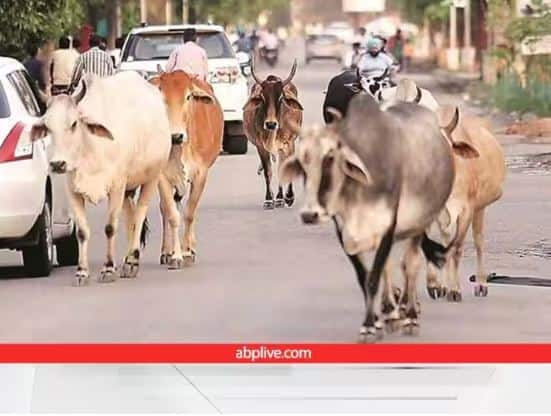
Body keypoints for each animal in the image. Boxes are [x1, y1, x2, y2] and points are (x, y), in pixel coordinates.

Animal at [28, 72, 174, 286]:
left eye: (74, 124)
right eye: (47, 126)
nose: (57, 164)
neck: (90, 148)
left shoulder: (117, 187)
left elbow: (110, 228)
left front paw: (108, 269)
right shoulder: (73, 190)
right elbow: (81, 232)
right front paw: (81, 272)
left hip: (152, 177)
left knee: (139, 215)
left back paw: (132, 261)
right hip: (128, 189)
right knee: (131, 219)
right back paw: (128, 259)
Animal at [151, 68, 224, 266]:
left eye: (188, 96)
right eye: (162, 96)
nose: (175, 136)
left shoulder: (201, 174)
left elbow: (189, 213)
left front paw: (187, 252)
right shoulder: (162, 176)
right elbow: (172, 214)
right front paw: (175, 255)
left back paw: (190, 246)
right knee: (165, 209)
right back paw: (166, 252)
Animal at [244, 60, 304, 210]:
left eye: (281, 98)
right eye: (261, 97)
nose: (271, 124)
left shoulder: (288, 144)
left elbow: (283, 169)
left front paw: (287, 197)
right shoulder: (261, 146)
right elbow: (268, 172)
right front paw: (269, 199)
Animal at [280, 94, 466, 342]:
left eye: (330, 157)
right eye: (301, 163)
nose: (310, 215)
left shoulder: (388, 226)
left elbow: (374, 277)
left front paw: (370, 325)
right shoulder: (344, 231)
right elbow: (365, 277)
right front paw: (375, 322)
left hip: (420, 223)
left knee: (411, 265)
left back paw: (410, 316)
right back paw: (390, 313)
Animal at [426, 106, 508, 302]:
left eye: (447, 147)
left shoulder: (467, 210)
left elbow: (457, 248)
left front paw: (455, 290)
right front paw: (435, 285)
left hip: (480, 208)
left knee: (478, 241)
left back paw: (481, 284)